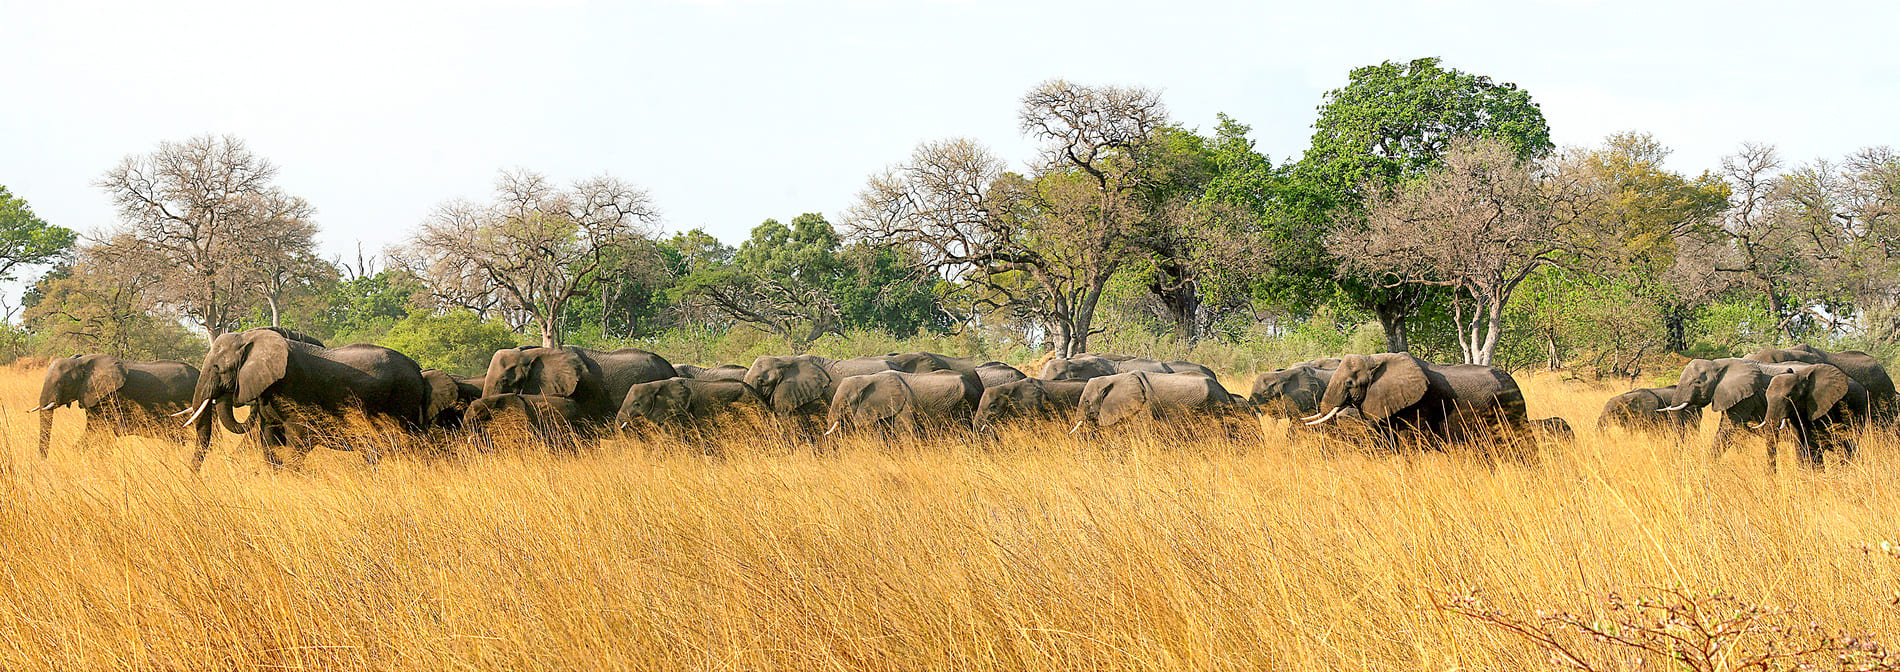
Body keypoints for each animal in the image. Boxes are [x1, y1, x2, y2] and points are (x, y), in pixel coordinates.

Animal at [31, 354, 199, 457]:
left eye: (61, 383)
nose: (43, 461)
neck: (81, 362)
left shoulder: (109, 398)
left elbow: (102, 434)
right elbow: (92, 433)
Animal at [185, 327, 430, 472]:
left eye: (217, 368)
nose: (194, 479)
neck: (253, 338)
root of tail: (417, 368)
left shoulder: (294, 389)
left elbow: (298, 439)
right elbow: (269, 438)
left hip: (403, 398)